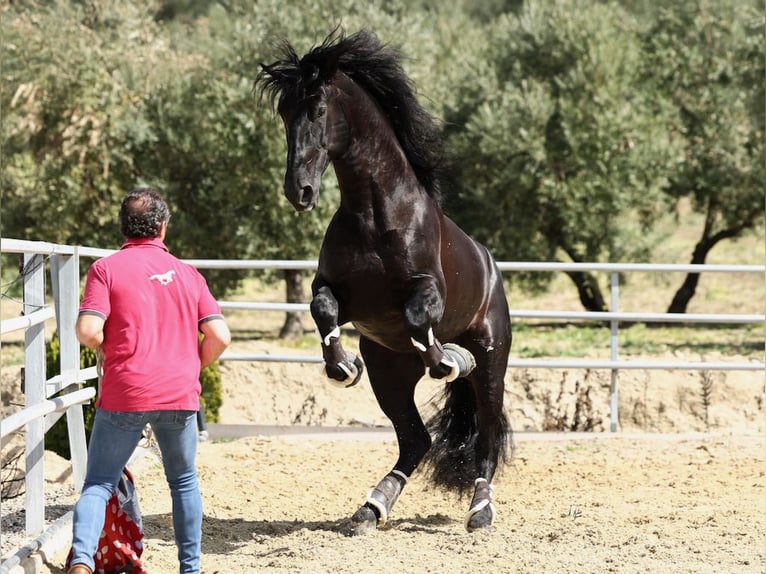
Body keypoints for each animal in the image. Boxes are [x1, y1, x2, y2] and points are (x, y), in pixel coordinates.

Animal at [258, 30, 516, 536]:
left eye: (318, 109)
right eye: (284, 111)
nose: (299, 192)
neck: (376, 214)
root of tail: (492, 267)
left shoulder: (427, 292)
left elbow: (418, 320)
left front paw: (449, 360)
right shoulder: (337, 293)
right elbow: (322, 309)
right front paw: (341, 367)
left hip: (492, 359)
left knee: (486, 436)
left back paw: (480, 511)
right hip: (390, 372)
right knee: (415, 439)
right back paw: (370, 509)